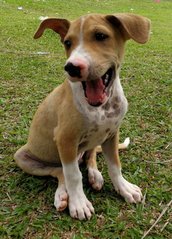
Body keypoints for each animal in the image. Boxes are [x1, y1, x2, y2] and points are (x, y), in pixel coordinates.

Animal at [14, 12, 150, 218]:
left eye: (101, 36)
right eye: (67, 43)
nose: (72, 67)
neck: (101, 108)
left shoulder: (112, 134)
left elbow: (115, 166)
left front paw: (124, 188)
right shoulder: (65, 139)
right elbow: (73, 175)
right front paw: (78, 202)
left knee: (90, 156)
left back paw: (95, 175)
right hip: (23, 156)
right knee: (59, 171)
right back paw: (63, 194)